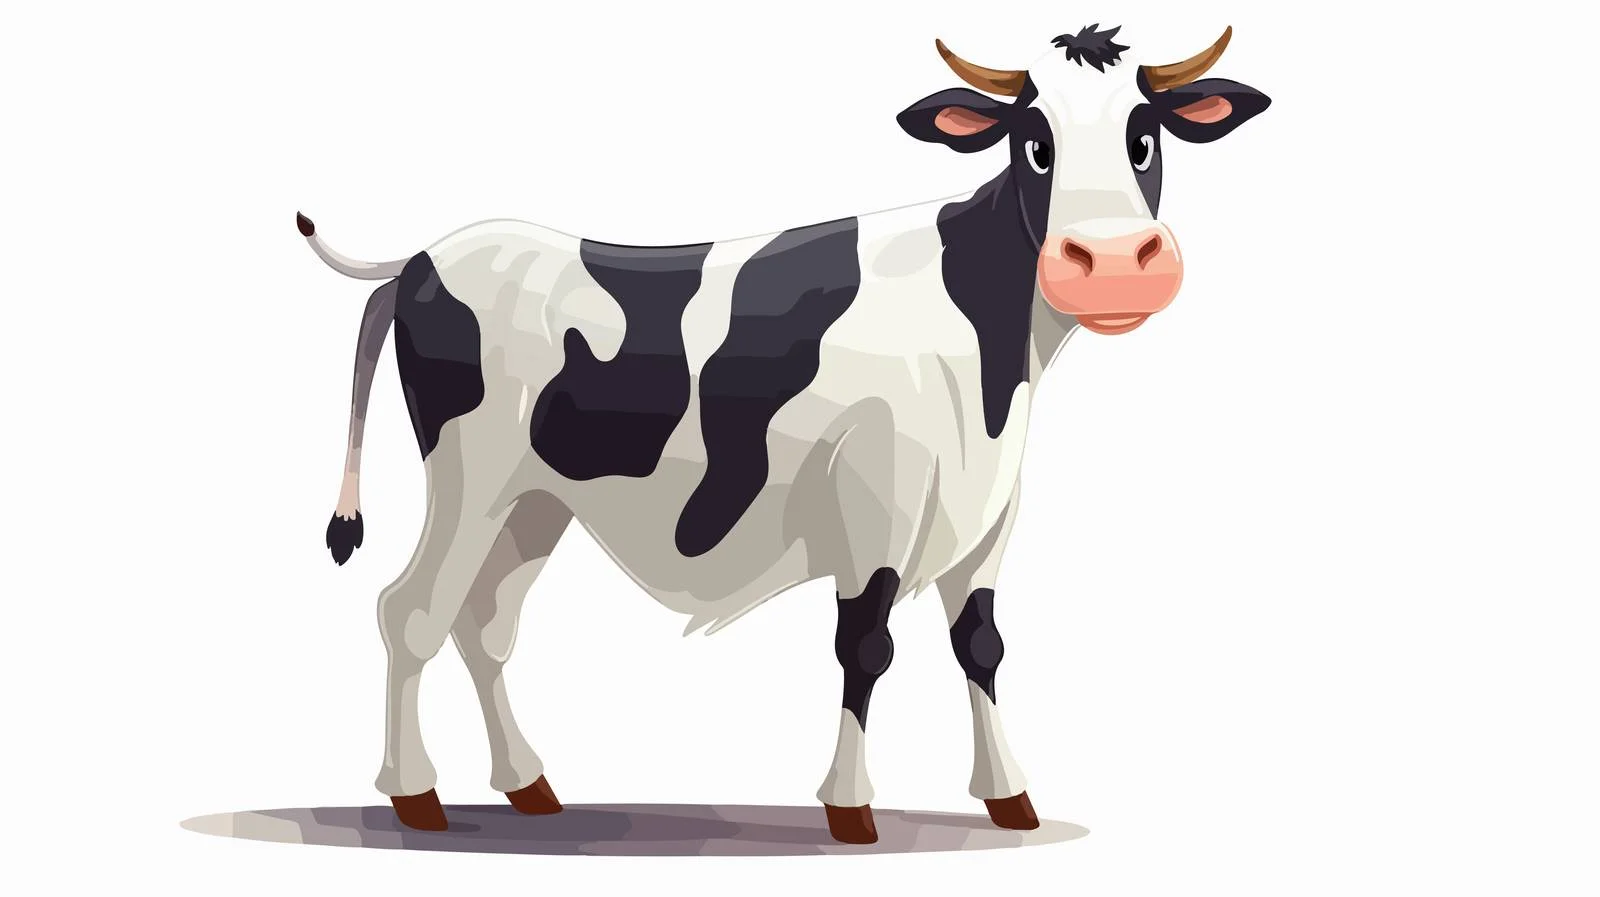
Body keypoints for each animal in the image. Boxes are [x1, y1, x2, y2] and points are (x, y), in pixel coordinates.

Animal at [296, 24, 1269, 845]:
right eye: (1034, 142)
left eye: (1145, 139)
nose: (1112, 264)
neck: (993, 363)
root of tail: (422, 257)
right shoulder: (877, 499)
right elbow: (864, 646)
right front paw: (850, 807)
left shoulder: (988, 513)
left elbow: (982, 646)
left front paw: (1010, 796)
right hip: (470, 477)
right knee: (411, 611)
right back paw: (416, 794)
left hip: (536, 501)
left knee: (485, 622)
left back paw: (528, 784)